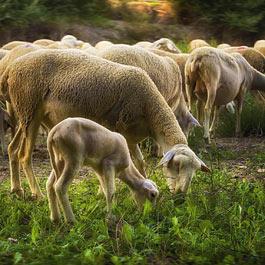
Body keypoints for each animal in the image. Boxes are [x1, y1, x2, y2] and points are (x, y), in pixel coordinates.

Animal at [1, 49, 209, 198]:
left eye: (195, 171)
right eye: (177, 165)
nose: (181, 196)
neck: (150, 109)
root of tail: (10, 69)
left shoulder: (130, 137)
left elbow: (140, 162)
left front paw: (144, 184)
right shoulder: (113, 129)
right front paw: (103, 192)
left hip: (26, 113)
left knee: (13, 149)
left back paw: (17, 189)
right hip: (29, 106)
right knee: (24, 155)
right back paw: (37, 194)